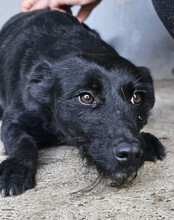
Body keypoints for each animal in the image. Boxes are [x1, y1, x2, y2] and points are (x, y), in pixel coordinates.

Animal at [0, 9, 166, 197]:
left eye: (136, 98)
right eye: (86, 97)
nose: (130, 153)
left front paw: (147, 139)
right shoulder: (12, 121)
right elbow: (23, 142)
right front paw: (16, 168)